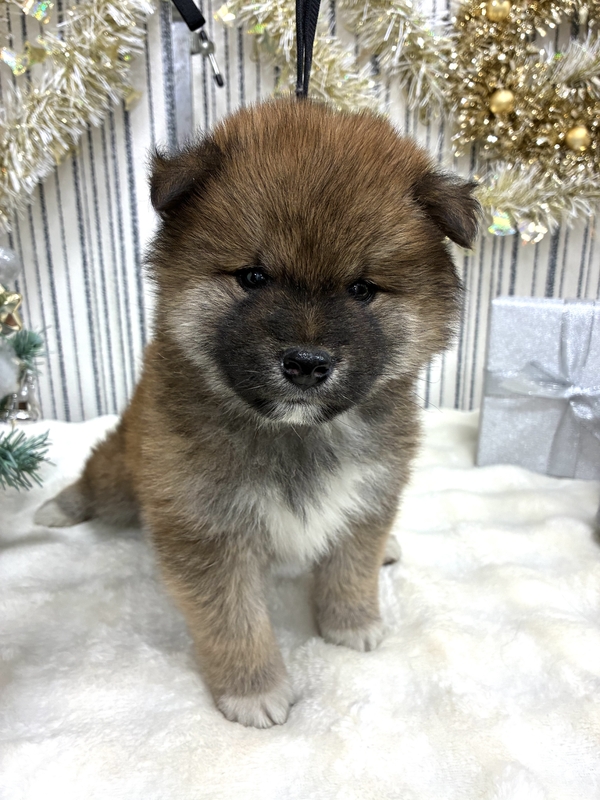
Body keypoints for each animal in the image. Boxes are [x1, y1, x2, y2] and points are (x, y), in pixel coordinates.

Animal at [35, 98, 479, 728]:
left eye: (362, 289)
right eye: (253, 277)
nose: (307, 364)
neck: (295, 434)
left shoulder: (370, 492)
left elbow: (351, 565)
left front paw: (351, 623)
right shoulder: (205, 527)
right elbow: (234, 621)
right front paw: (254, 689)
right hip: (126, 472)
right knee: (100, 480)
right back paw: (61, 506)